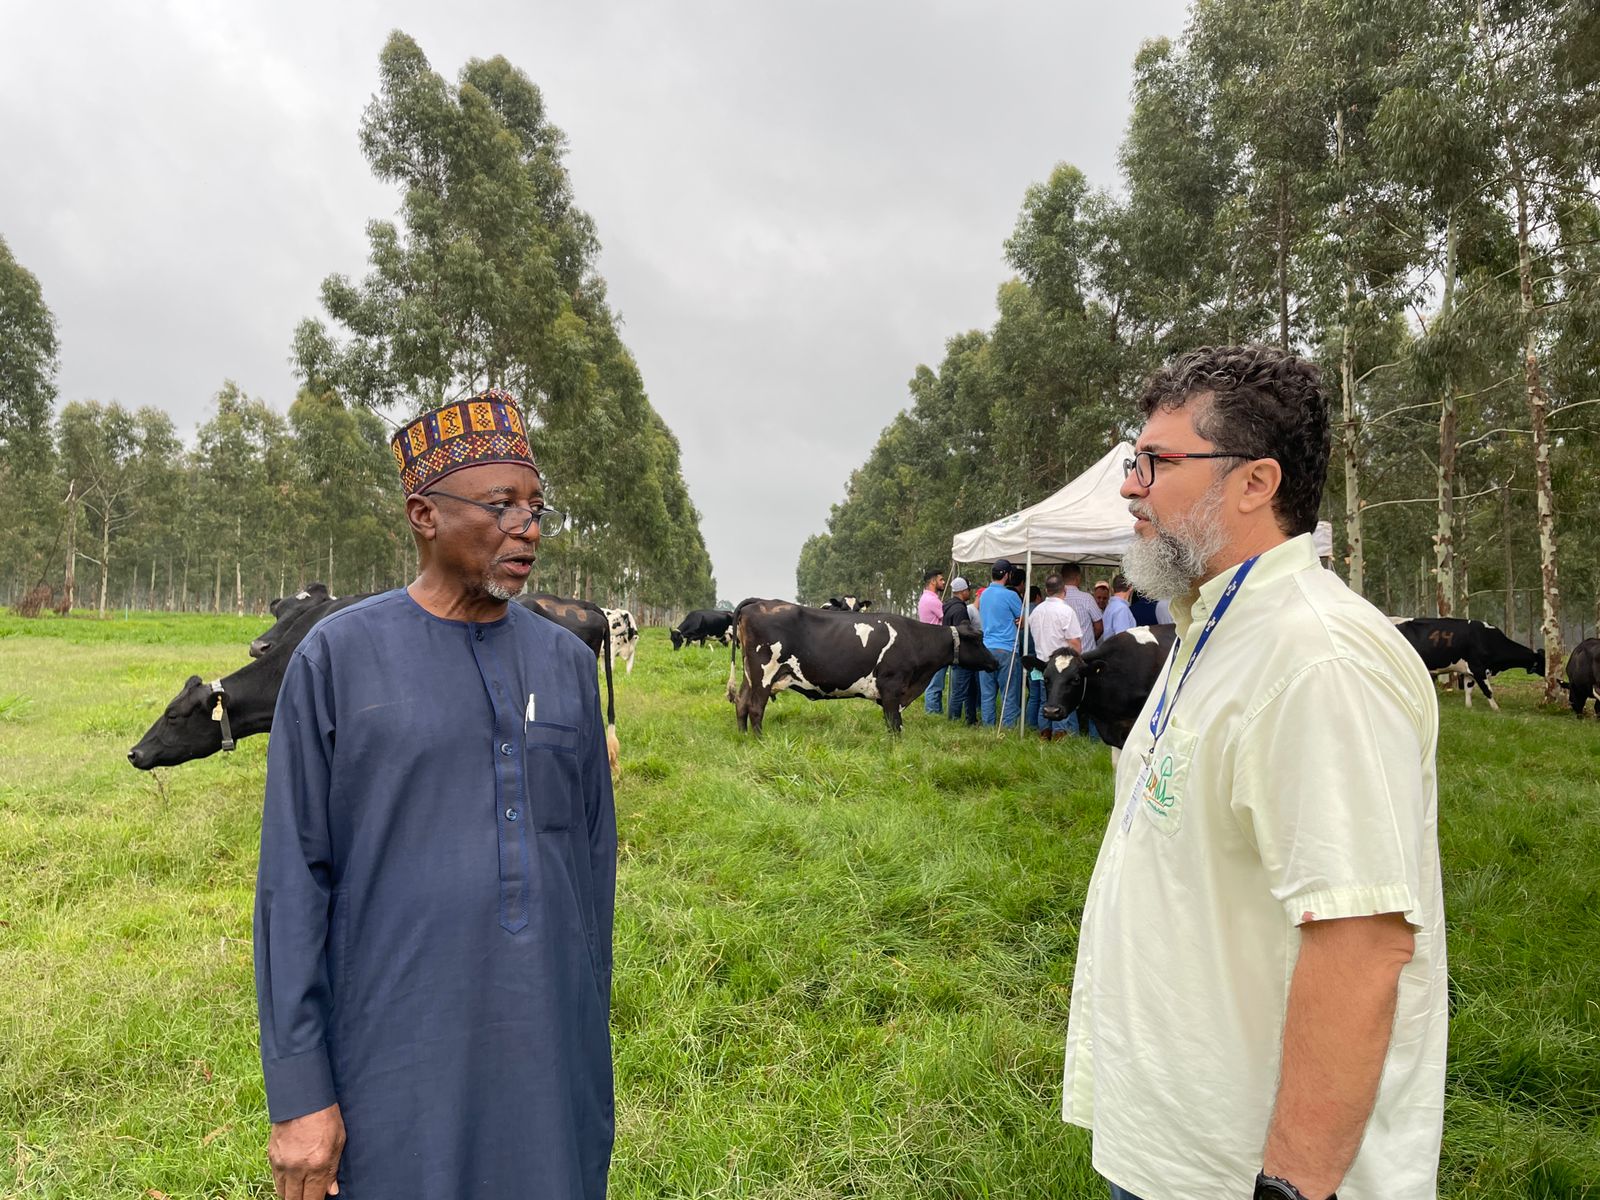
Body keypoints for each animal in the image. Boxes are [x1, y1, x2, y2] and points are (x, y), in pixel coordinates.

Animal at [729, 598, 998, 739]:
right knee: (755, 707)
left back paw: (743, 737)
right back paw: (760, 740)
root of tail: (761, 601)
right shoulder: (892, 688)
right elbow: (895, 725)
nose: (996, 662)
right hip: (763, 673)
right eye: (978, 638)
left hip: (749, 674)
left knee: (741, 702)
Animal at [1395, 620, 1542, 713]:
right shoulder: (1478, 669)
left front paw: (1469, 707)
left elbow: (1468, 690)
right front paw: (1497, 709)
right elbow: (1488, 691)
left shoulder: (1468, 672)